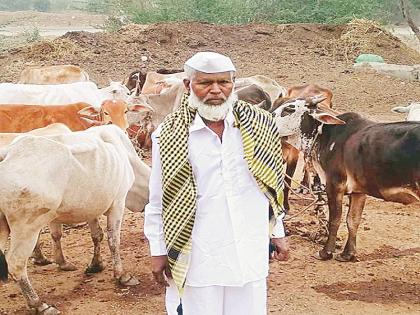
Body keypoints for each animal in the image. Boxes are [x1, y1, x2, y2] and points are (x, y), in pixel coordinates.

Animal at [0, 124, 151, 314]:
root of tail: (7, 153)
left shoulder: (91, 208)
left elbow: (96, 236)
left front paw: (95, 265)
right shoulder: (118, 202)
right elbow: (113, 240)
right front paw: (122, 275)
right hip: (27, 227)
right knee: (16, 263)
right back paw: (39, 304)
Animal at [274, 97, 420, 262]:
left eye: (289, 109)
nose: (268, 115)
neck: (326, 135)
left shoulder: (334, 185)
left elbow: (335, 220)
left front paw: (325, 252)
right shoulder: (359, 191)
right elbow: (352, 221)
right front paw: (347, 254)